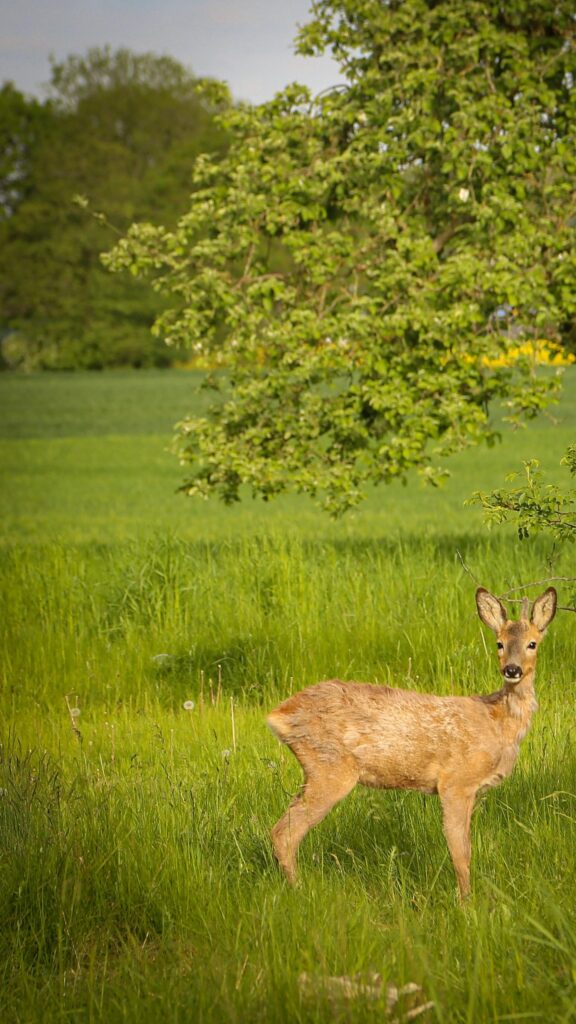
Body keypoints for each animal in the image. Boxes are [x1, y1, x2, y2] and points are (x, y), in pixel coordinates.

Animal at [267, 586, 557, 898]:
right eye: (499, 643)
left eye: (532, 643)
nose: (512, 670)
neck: (498, 721)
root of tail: (280, 714)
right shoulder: (456, 782)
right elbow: (461, 851)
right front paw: (466, 902)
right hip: (330, 767)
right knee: (284, 832)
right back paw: (299, 890)